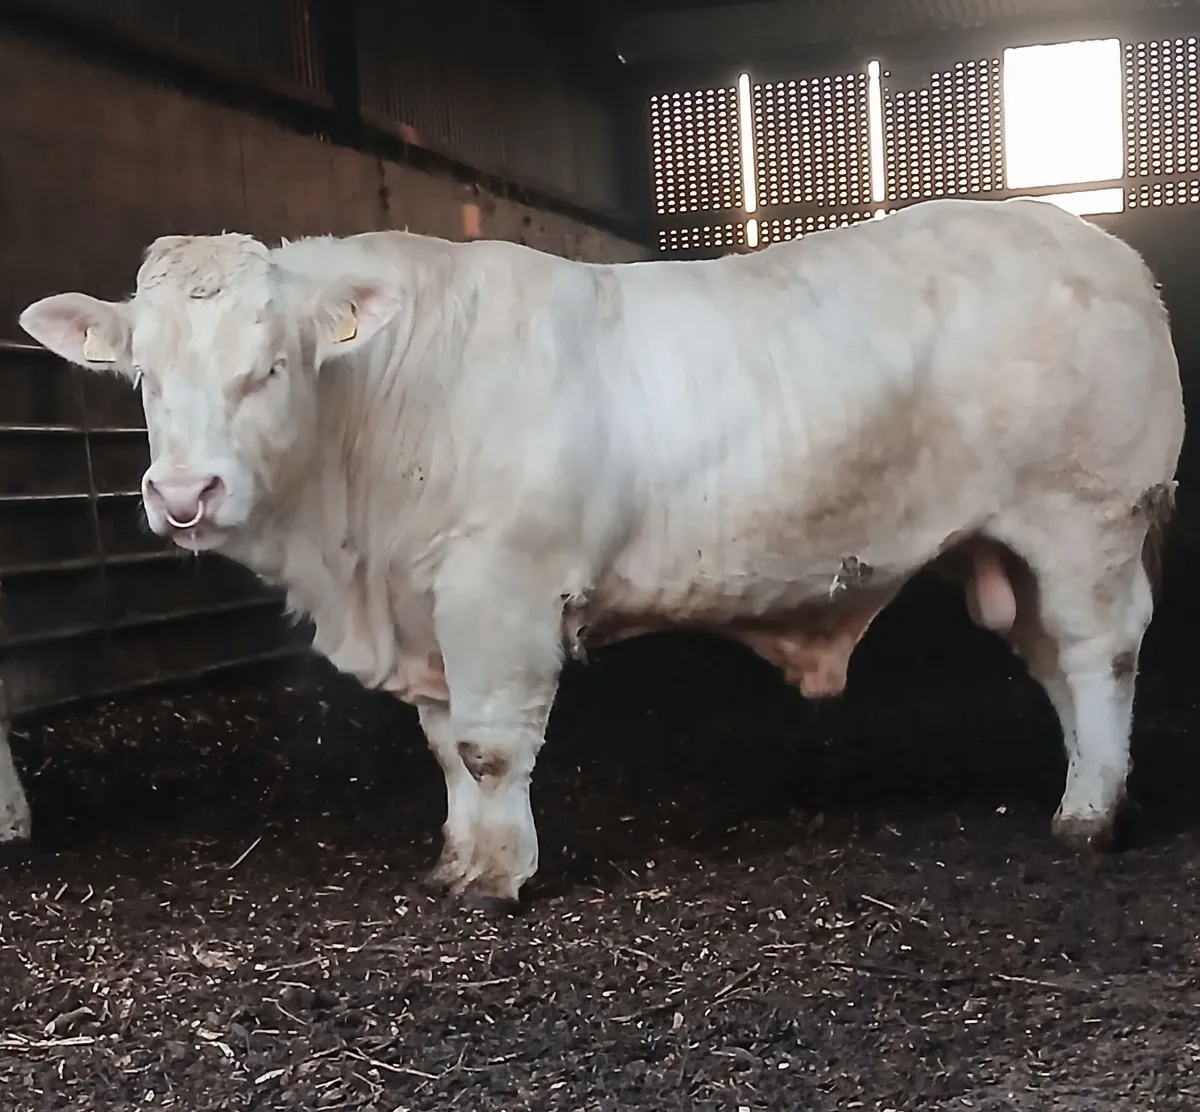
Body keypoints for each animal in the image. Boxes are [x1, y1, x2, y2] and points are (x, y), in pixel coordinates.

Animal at [18, 197, 1184, 911]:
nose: (183, 495)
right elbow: (447, 749)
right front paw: (457, 859)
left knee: (1100, 658)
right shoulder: (429, 608)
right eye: (142, 376)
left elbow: (491, 745)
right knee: (1057, 664)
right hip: (1023, 546)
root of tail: (1095, 241)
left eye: (270, 365)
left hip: (1086, 520)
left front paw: (501, 880)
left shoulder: (501, 589)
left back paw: (1087, 817)